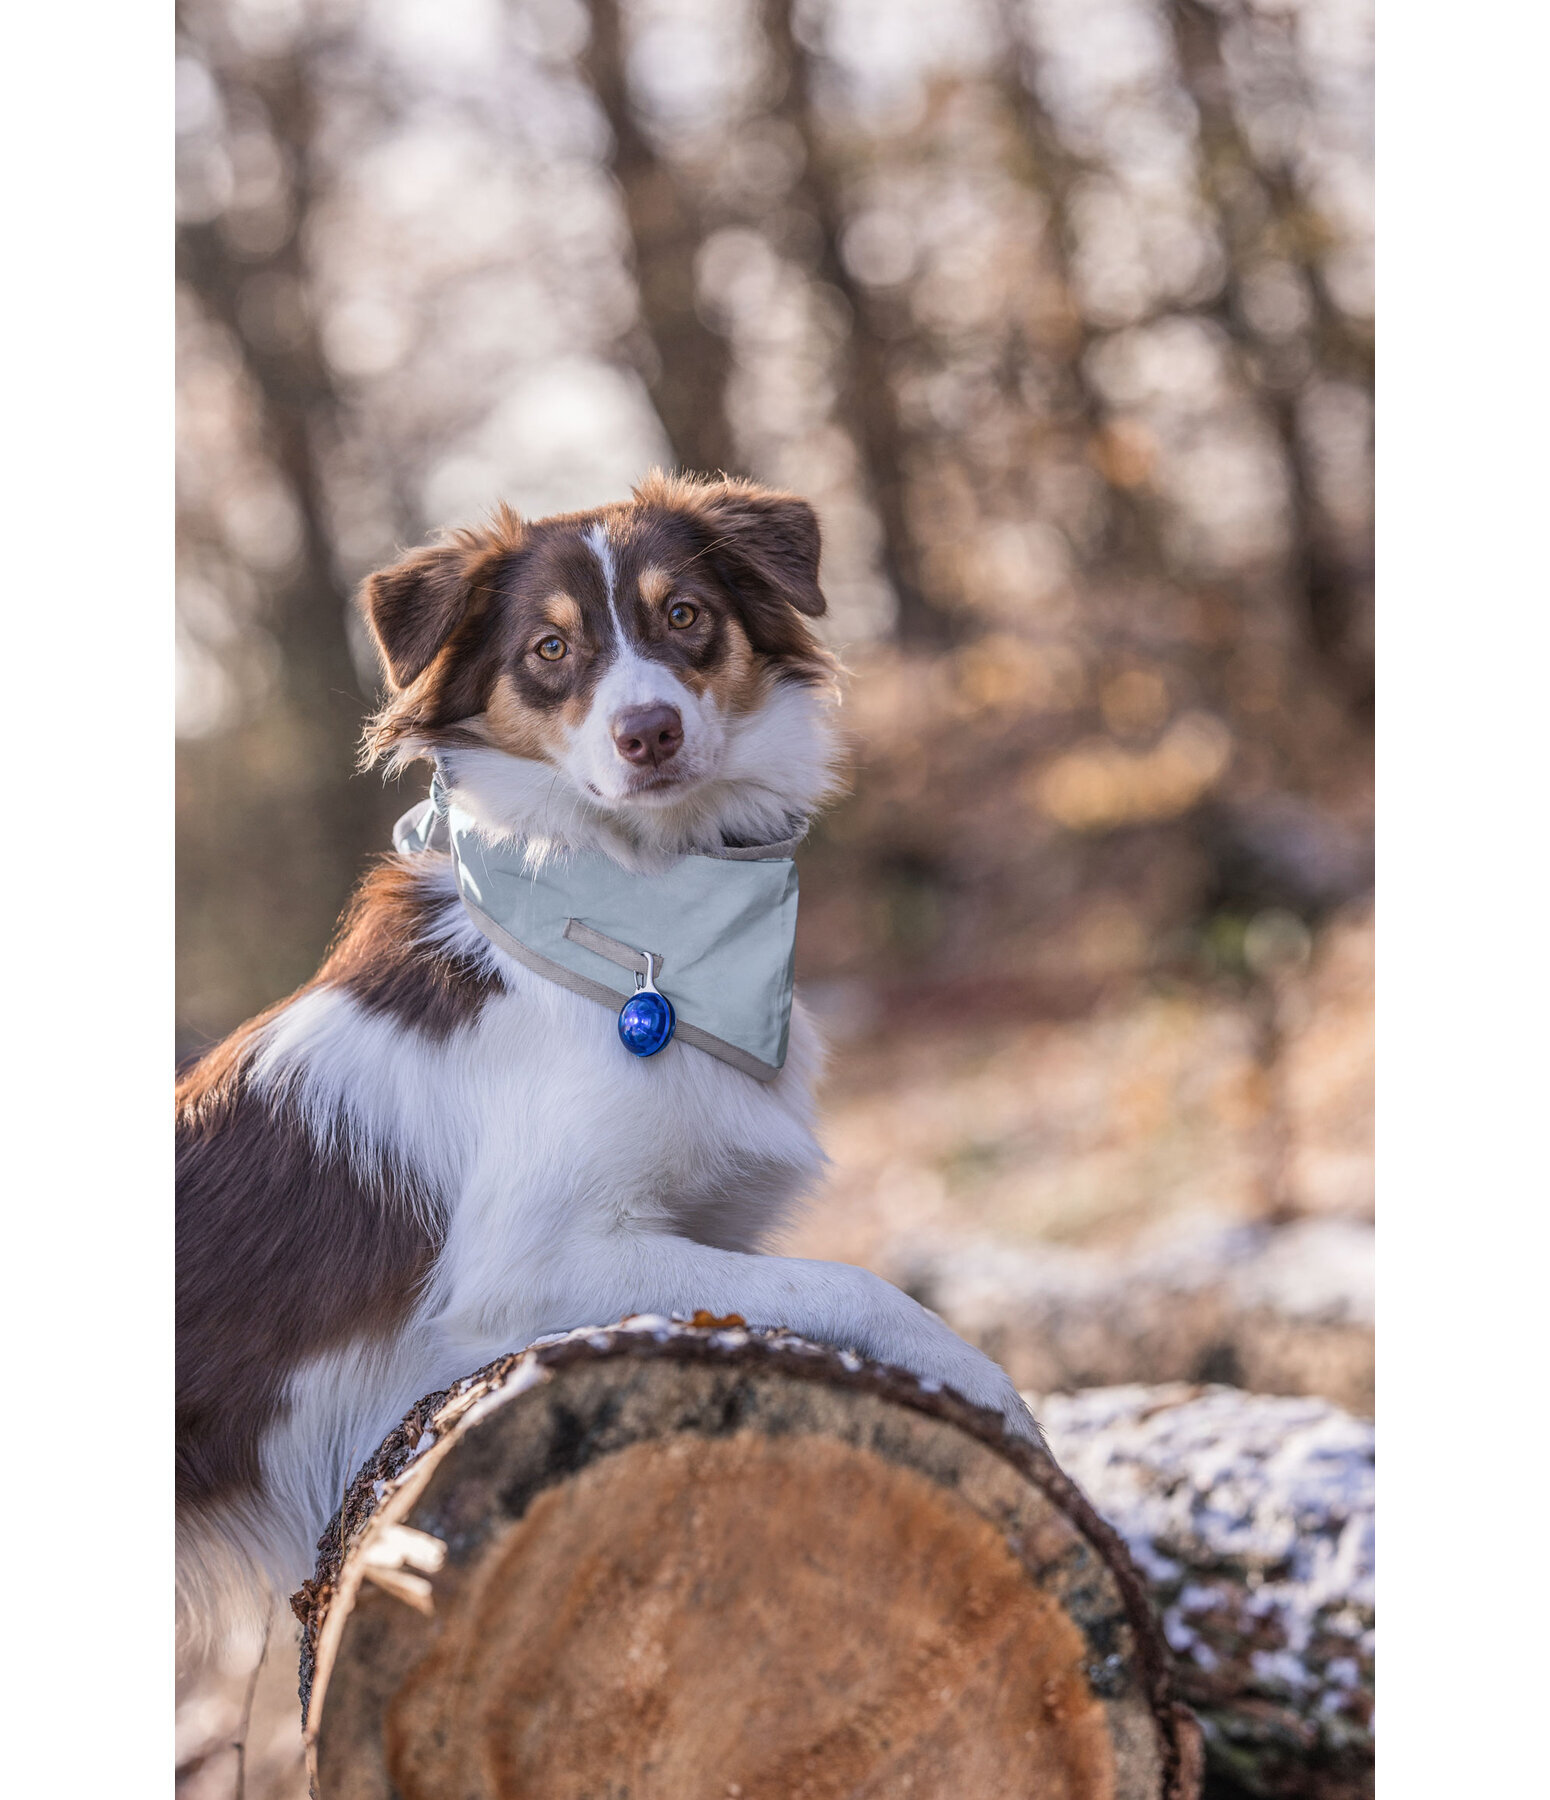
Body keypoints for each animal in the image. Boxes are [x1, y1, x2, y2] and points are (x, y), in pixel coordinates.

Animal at [175, 471, 1036, 1641]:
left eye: (685, 615)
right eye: (549, 648)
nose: (649, 734)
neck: (637, 913)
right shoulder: (525, 1269)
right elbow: (851, 1284)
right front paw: (992, 1393)